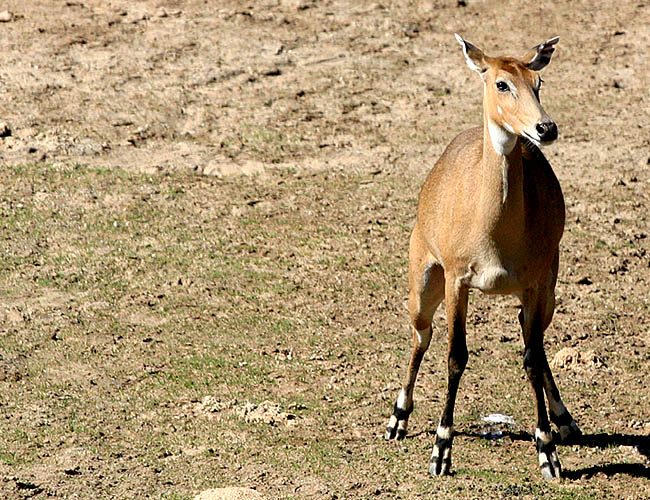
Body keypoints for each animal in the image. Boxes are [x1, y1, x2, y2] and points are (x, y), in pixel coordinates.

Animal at [382, 36, 580, 480]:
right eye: (502, 83)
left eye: (538, 81)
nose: (545, 128)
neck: (494, 231)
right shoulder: (458, 279)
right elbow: (456, 356)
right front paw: (441, 450)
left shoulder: (534, 283)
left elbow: (532, 358)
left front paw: (548, 451)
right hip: (424, 281)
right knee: (422, 336)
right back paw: (397, 418)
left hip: (549, 290)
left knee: (531, 337)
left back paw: (565, 419)